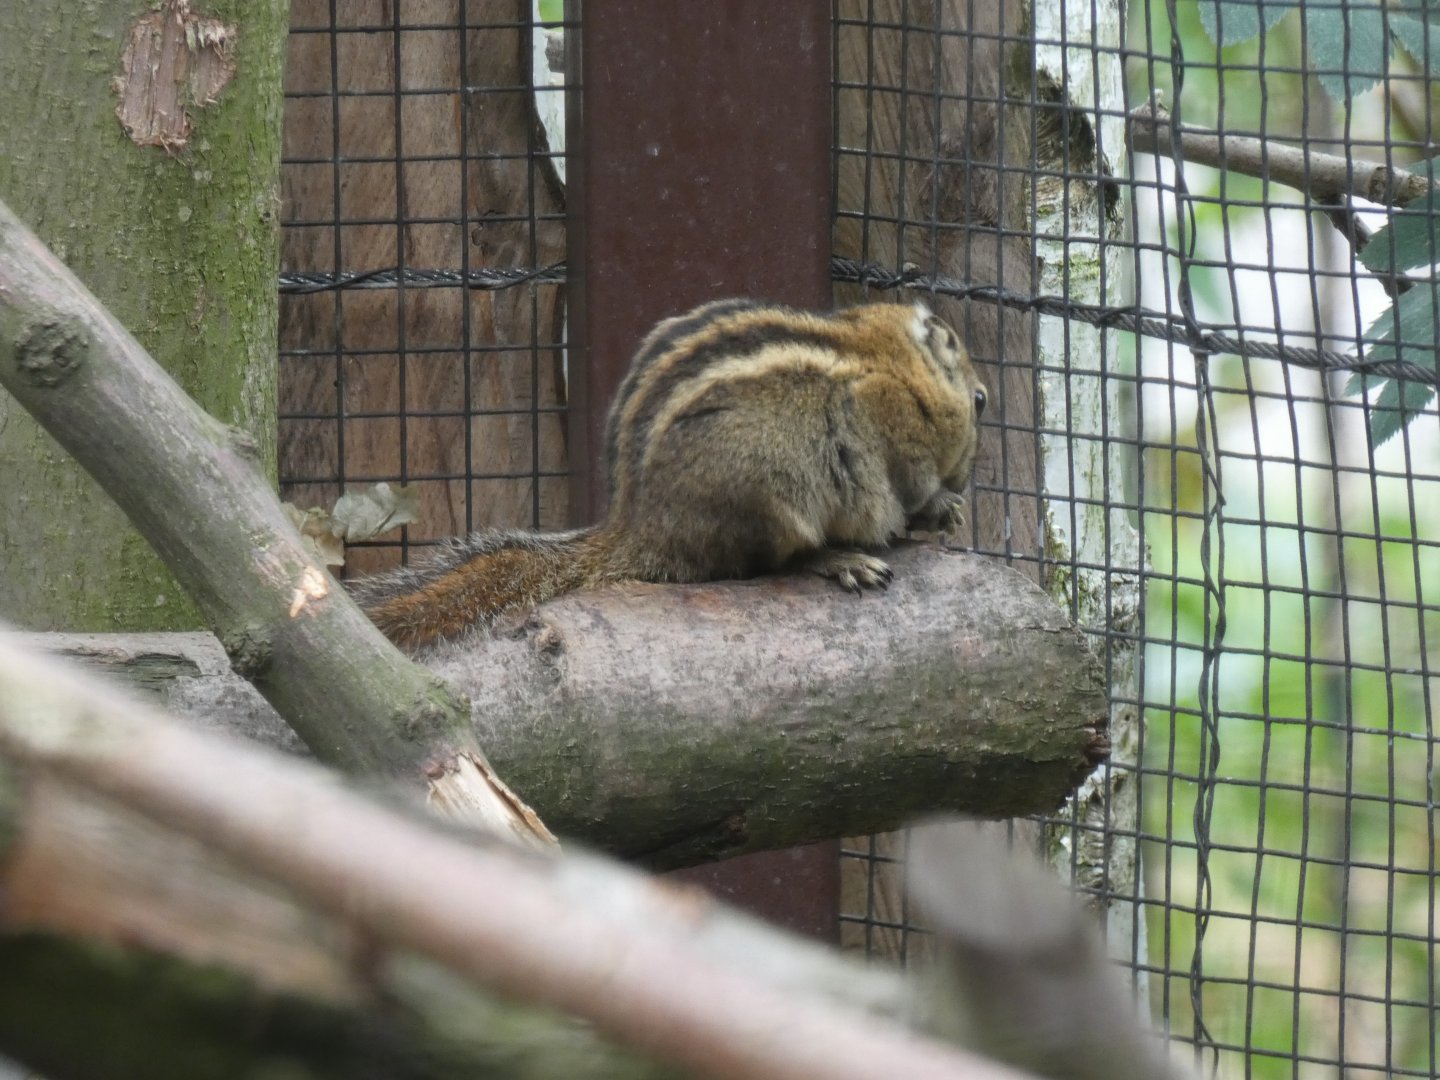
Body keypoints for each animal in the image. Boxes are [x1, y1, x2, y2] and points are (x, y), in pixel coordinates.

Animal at [350, 298, 988, 651]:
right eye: (981, 401)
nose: (966, 481)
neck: (885, 355)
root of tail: (637, 527)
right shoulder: (890, 420)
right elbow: (909, 478)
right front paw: (939, 504)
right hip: (766, 493)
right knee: (768, 564)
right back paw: (837, 559)